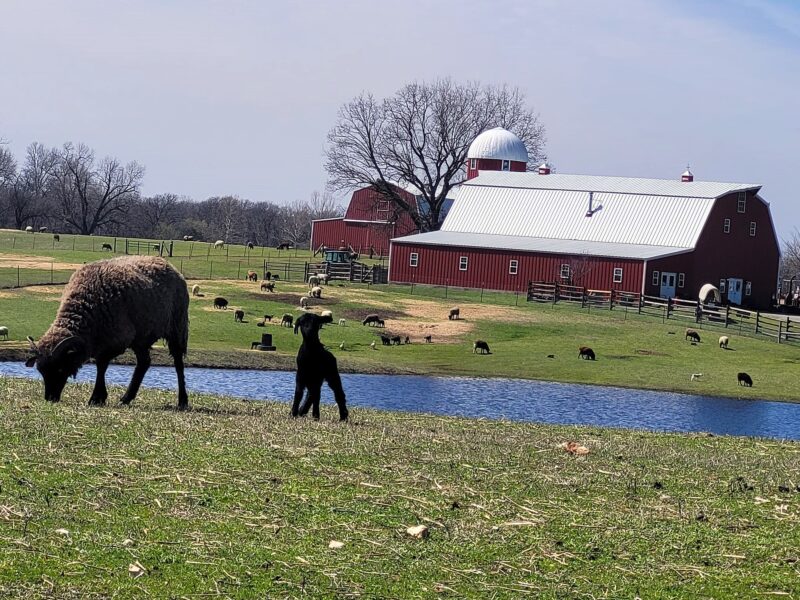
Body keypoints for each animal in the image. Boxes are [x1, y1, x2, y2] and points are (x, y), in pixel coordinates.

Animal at [25, 255, 191, 410]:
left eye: (60, 368)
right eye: (41, 371)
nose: (50, 398)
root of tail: (170, 266)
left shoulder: (117, 341)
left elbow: (101, 365)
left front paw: (97, 397)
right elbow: (102, 366)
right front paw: (100, 397)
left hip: (177, 326)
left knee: (178, 363)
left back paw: (182, 401)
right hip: (140, 338)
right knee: (144, 362)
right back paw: (126, 398)